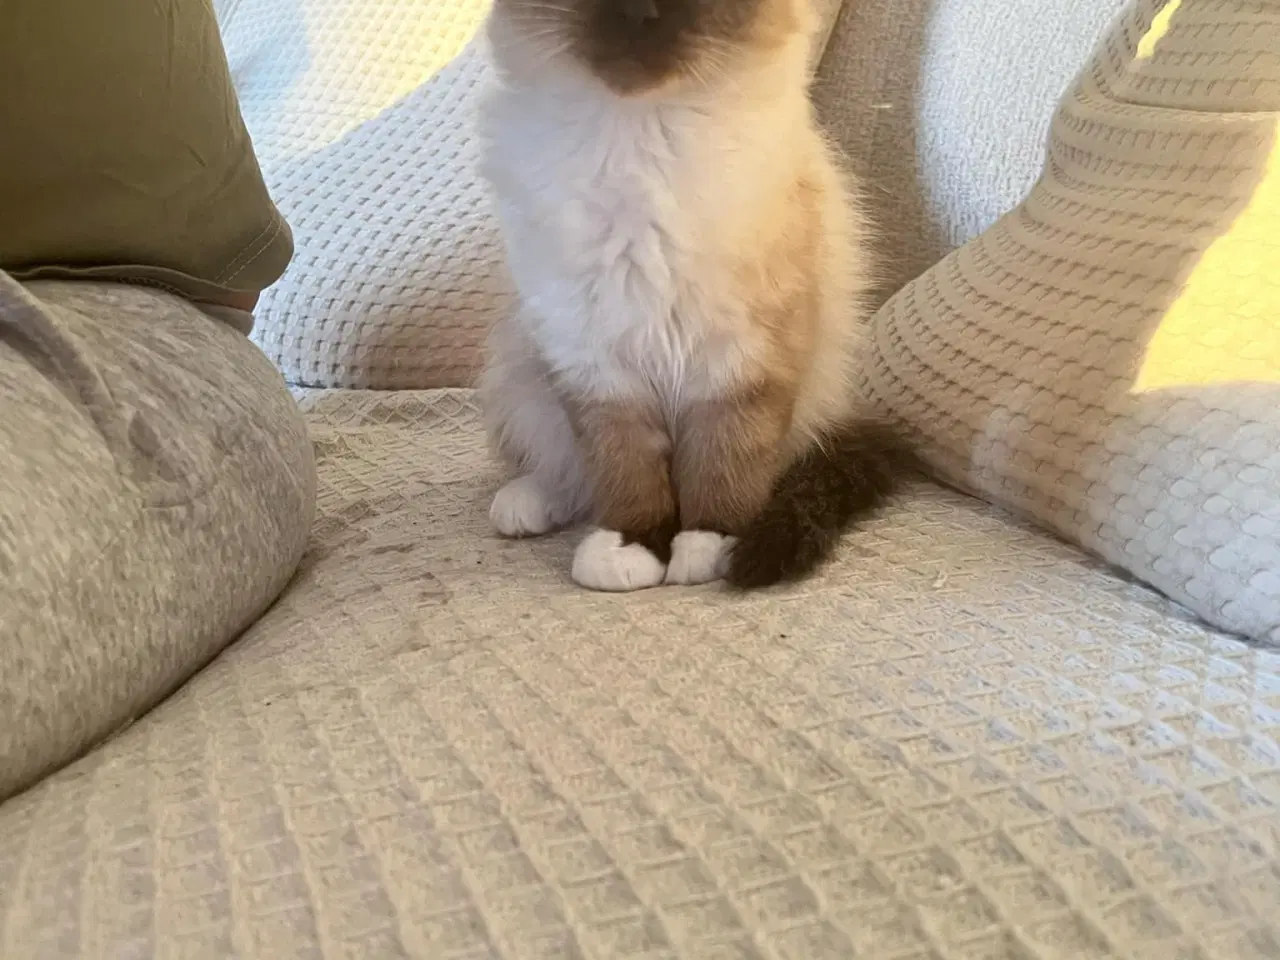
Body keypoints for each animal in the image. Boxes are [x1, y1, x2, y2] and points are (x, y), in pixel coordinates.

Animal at [476, 0, 908, 592]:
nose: (639, 14)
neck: (639, 143)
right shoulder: (594, 363)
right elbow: (623, 470)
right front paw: (633, 545)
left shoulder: (741, 359)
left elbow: (724, 462)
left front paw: (709, 544)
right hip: (519, 369)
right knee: (565, 468)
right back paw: (527, 503)